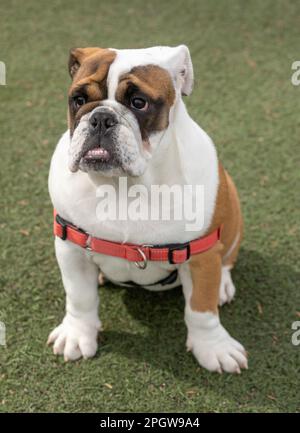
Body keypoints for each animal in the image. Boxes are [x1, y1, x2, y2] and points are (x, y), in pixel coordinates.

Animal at [48, 45, 247, 372]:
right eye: (78, 99)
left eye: (138, 102)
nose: (101, 117)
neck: (125, 186)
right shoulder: (71, 247)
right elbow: (79, 297)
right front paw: (77, 334)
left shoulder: (201, 256)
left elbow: (201, 310)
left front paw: (213, 347)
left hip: (232, 205)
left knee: (227, 257)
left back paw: (223, 286)